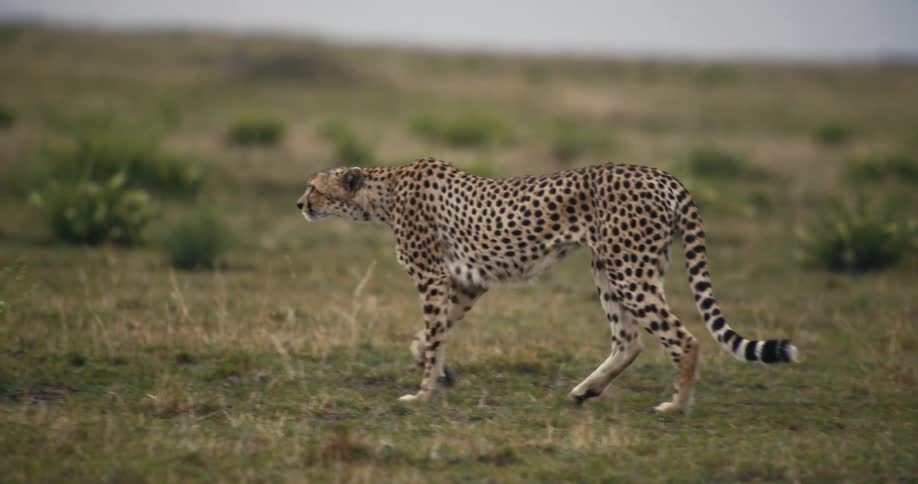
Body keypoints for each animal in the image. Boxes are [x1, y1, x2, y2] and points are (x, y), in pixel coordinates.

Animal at [297, 158, 797, 414]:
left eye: (314, 187)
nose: (299, 203)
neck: (383, 191)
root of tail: (662, 175)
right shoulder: (466, 282)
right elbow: (428, 337)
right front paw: (439, 372)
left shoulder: (434, 278)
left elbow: (434, 334)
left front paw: (422, 393)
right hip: (610, 268)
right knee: (629, 340)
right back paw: (586, 391)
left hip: (629, 269)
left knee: (684, 338)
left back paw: (676, 405)